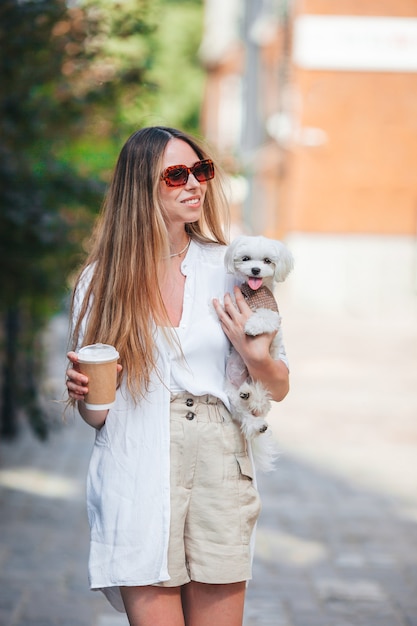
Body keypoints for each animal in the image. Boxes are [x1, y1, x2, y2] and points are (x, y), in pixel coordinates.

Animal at [224, 235, 292, 468]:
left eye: (267, 261)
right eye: (246, 259)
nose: (255, 269)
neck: (254, 294)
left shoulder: (273, 317)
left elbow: (264, 316)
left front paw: (252, 326)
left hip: (262, 388)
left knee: (259, 400)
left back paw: (251, 397)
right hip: (230, 394)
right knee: (243, 413)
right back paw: (251, 412)